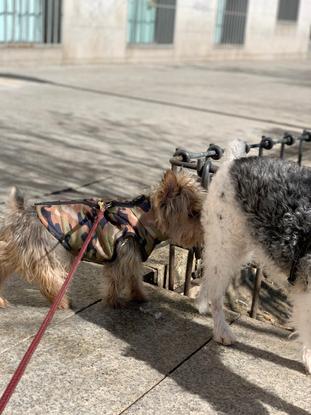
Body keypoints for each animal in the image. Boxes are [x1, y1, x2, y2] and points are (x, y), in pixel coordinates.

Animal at [0, 169, 205, 308]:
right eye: (193, 213)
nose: (206, 226)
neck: (144, 220)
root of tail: (22, 215)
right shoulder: (124, 254)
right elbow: (116, 280)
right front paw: (114, 302)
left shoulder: (132, 256)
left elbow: (134, 278)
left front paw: (139, 297)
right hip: (51, 251)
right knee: (49, 276)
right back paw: (63, 302)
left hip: (15, 250)